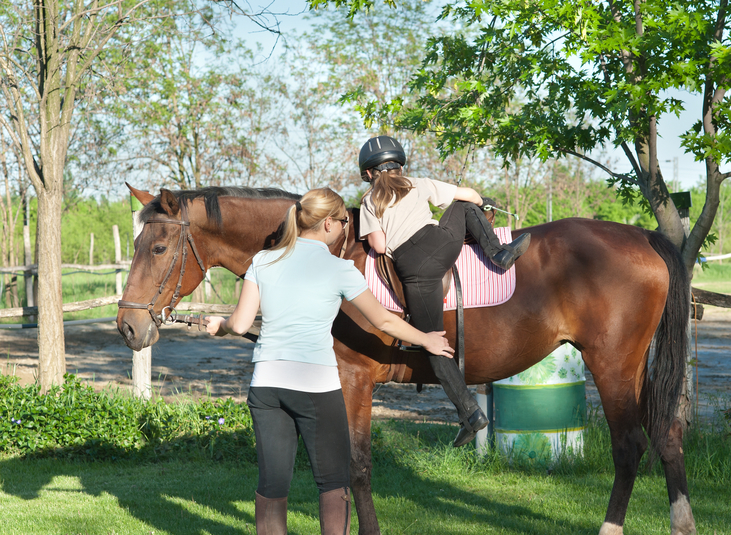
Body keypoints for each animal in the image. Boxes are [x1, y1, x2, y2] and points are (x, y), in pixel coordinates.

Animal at [118, 186, 696, 535]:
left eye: (159, 247)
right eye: (137, 243)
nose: (128, 327)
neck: (319, 255)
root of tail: (641, 235)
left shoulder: (352, 381)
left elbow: (355, 466)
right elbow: (342, 467)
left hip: (612, 363)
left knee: (630, 445)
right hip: (635, 366)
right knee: (666, 435)